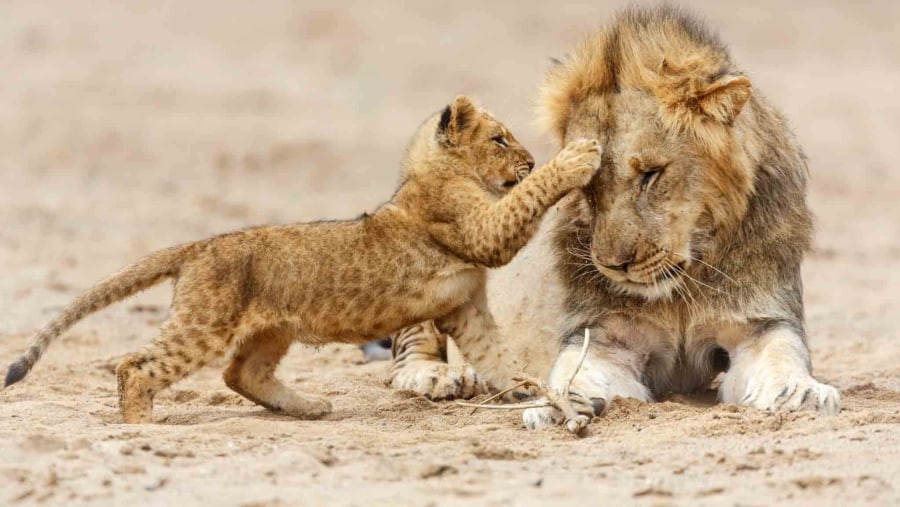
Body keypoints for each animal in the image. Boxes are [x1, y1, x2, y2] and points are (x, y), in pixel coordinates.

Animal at [390, 5, 840, 430]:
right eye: (587, 186)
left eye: (650, 174)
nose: (614, 266)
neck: (680, 288)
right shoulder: (603, 335)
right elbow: (575, 372)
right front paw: (557, 403)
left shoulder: (760, 322)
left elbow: (781, 356)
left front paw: (801, 394)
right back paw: (440, 377)